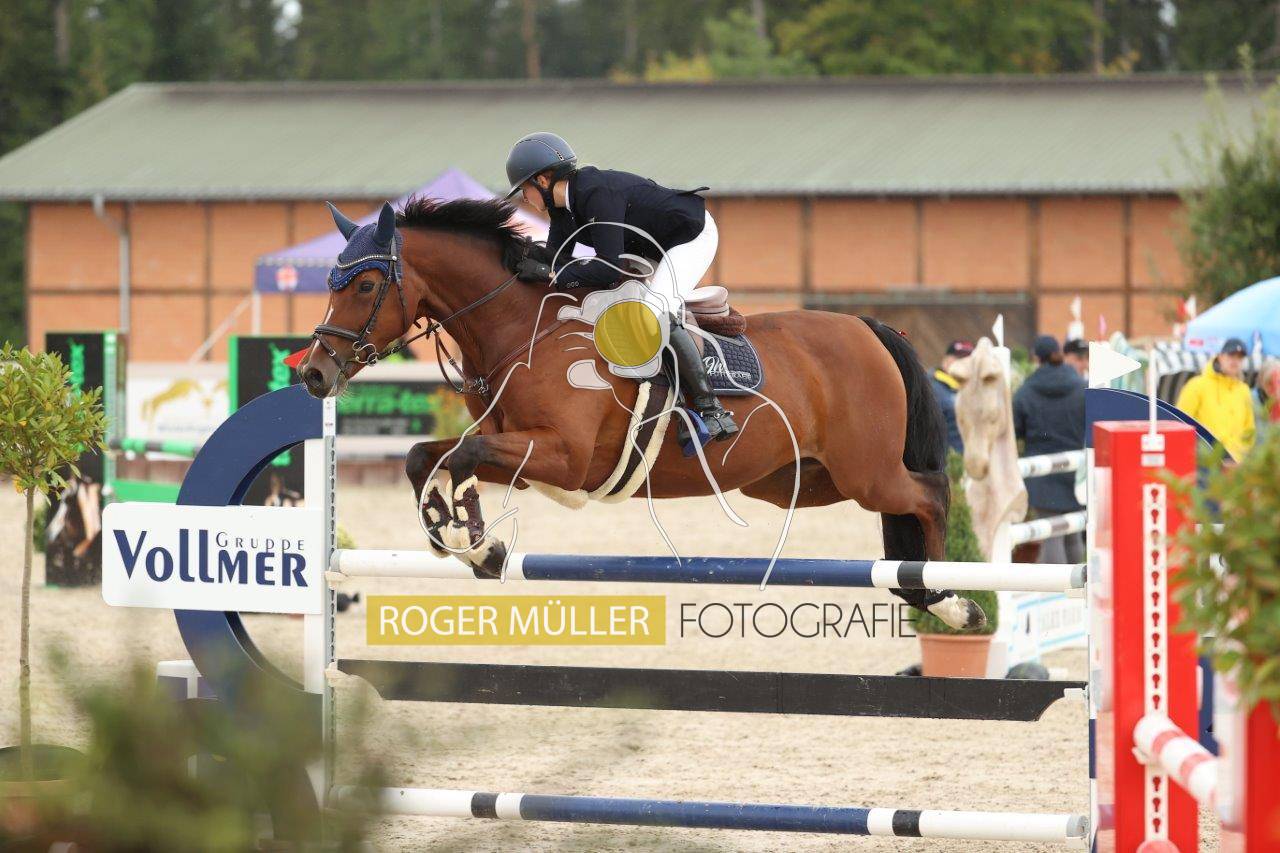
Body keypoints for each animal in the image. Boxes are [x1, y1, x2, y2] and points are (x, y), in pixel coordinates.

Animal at [296, 198, 984, 630]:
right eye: (329, 282)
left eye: (364, 285)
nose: (313, 373)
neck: (522, 330)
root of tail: (867, 327)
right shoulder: (514, 445)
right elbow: (425, 457)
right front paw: (467, 541)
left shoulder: (564, 457)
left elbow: (461, 456)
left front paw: (474, 540)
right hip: (801, 479)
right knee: (905, 507)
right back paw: (922, 590)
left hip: (865, 470)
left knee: (930, 493)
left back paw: (950, 600)